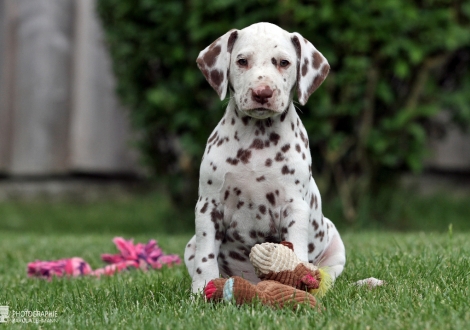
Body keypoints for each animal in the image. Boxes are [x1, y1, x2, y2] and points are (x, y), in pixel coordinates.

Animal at [185, 22, 346, 294]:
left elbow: (296, 251)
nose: (262, 92)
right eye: (242, 61)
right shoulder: (209, 205)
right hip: (190, 245)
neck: (257, 138)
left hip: (336, 244)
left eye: (283, 62)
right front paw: (201, 290)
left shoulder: (295, 206)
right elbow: (206, 258)